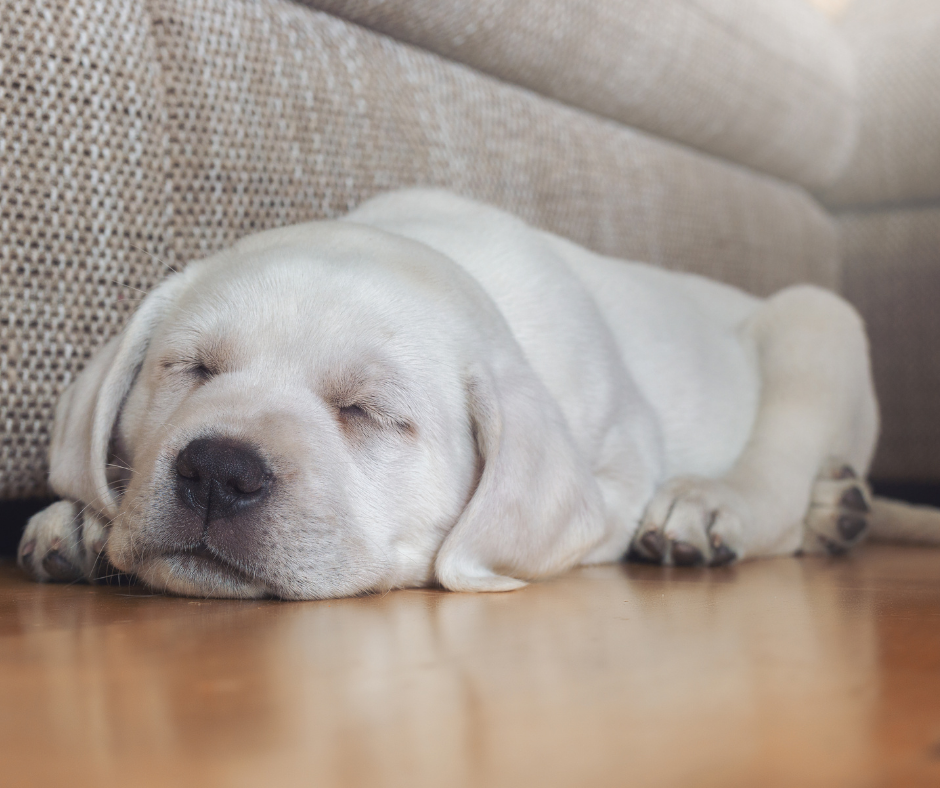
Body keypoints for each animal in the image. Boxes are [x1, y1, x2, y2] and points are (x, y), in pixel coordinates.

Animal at [18, 189, 892, 596]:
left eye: (367, 412)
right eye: (192, 369)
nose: (217, 472)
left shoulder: (618, 466)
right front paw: (82, 520)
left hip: (817, 323)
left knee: (778, 478)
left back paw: (720, 506)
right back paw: (838, 507)